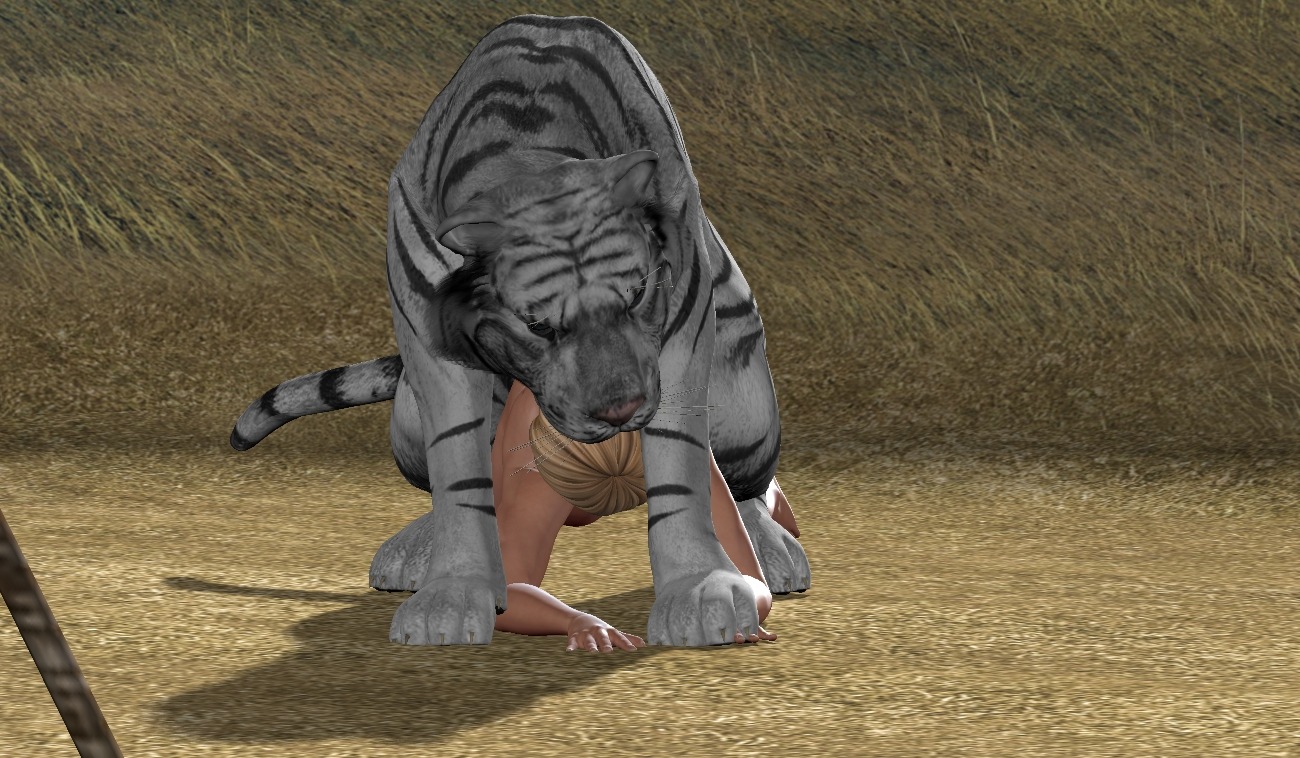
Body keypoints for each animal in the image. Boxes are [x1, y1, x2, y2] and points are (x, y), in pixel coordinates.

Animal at [230, 14, 810, 646]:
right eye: (537, 325)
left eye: (636, 297)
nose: (620, 412)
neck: (531, 156)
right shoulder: (429, 336)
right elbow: (459, 467)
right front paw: (453, 594)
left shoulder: (683, 313)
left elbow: (680, 459)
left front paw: (702, 591)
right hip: (406, 420)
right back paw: (418, 547)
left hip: (747, 402)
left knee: (750, 485)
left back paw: (772, 549)